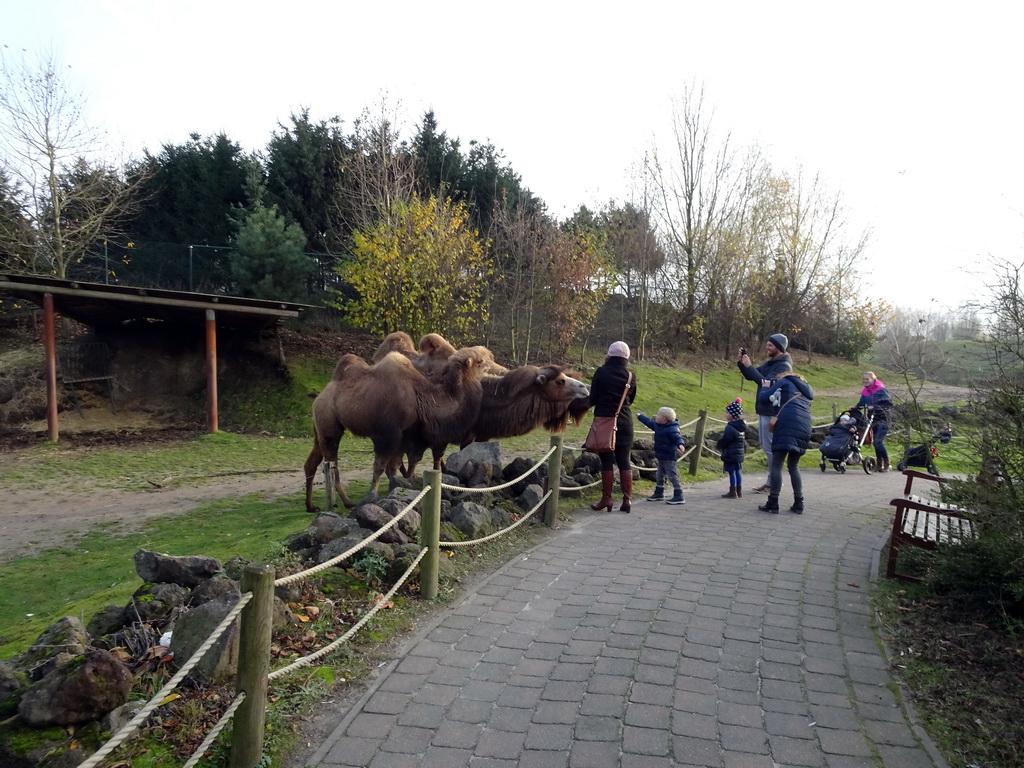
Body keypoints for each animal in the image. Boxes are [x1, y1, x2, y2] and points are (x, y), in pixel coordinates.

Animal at [301, 346, 493, 514]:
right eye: (480, 361)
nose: (492, 364)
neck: (422, 399)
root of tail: (320, 396)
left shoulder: (405, 436)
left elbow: (393, 465)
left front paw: (398, 487)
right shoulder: (387, 434)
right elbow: (380, 466)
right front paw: (371, 496)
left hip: (320, 428)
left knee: (312, 462)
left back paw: (311, 506)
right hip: (329, 425)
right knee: (332, 464)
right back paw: (348, 502)